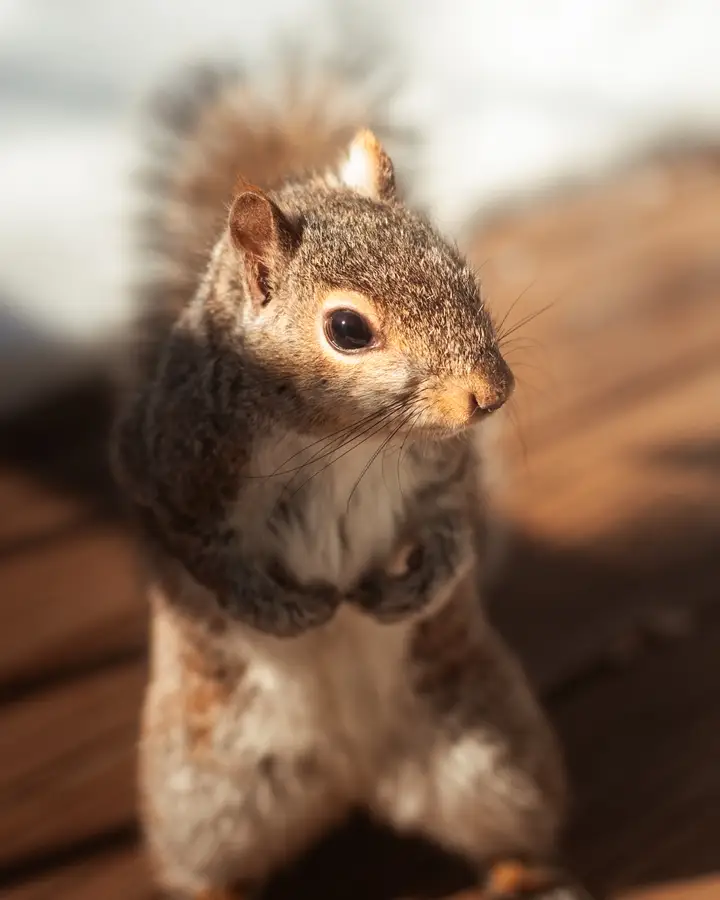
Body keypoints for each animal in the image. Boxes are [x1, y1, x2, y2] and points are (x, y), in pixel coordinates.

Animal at [110, 63, 595, 900]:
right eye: (346, 329)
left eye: (459, 271)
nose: (492, 394)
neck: (340, 440)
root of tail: (354, 779)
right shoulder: (171, 469)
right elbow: (204, 557)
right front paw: (282, 611)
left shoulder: (443, 477)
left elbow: (454, 532)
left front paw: (412, 588)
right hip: (204, 797)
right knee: (209, 866)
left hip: (493, 754)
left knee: (508, 828)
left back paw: (525, 876)